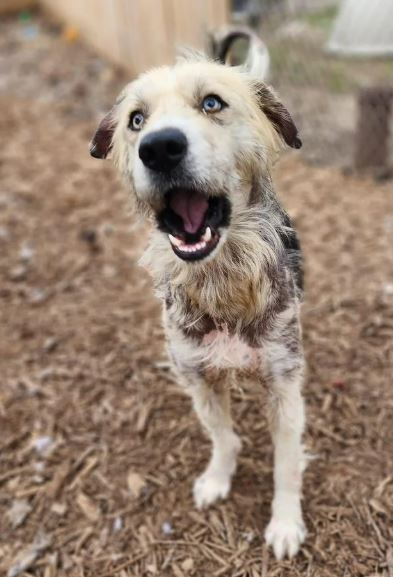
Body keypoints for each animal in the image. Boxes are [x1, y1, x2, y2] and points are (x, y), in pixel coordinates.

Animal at [89, 35, 306, 560]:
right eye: (136, 120)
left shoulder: (285, 386)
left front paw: (286, 522)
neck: (221, 284)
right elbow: (223, 437)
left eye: (212, 103)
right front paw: (217, 479)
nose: (160, 148)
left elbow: (287, 463)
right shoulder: (198, 378)